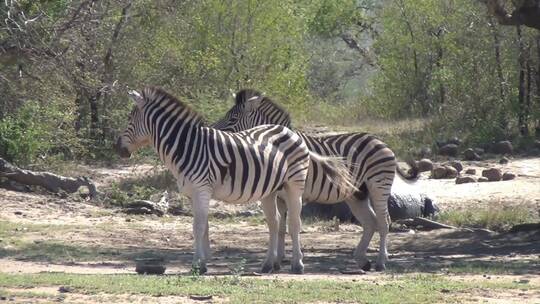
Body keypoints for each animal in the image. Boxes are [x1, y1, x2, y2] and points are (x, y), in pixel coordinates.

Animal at [115, 86, 354, 274]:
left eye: (129, 119)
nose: (118, 149)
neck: (187, 147)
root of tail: (291, 131)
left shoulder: (202, 189)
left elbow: (197, 227)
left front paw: (197, 265)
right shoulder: (194, 193)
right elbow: (203, 226)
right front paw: (203, 263)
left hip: (294, 184)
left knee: (294, 223)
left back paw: (297, 265)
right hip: (270, 190)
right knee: (275, 222)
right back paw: (268, 264)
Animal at [211, 88, 418, 270]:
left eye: (233, 118)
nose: (213, 131)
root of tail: (381, 141)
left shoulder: (290, 191)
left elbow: (289, 225)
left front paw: (288, 260)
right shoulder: (279, 195)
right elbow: (280, 227)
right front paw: (278, 260)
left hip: (378, 184)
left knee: (384, 221)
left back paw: (381, 262)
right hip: (358, 193)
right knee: (370, 222)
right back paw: (362, 260)